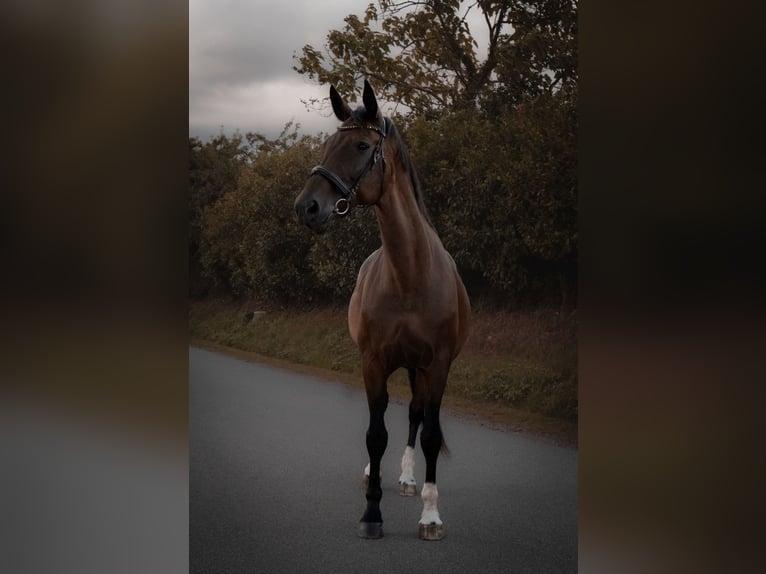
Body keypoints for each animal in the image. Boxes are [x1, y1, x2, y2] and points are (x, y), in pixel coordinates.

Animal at [294, 80, 470, 541]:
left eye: (360, 145)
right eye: (327, 145)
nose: (306, 208)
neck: (409, 275)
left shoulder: (437, 365)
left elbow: (429, 434)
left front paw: (430, 516)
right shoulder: (373, 361)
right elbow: (376, 433)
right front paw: (371, 513)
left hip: (418, 368)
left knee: (414, 417)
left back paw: (408, 479)